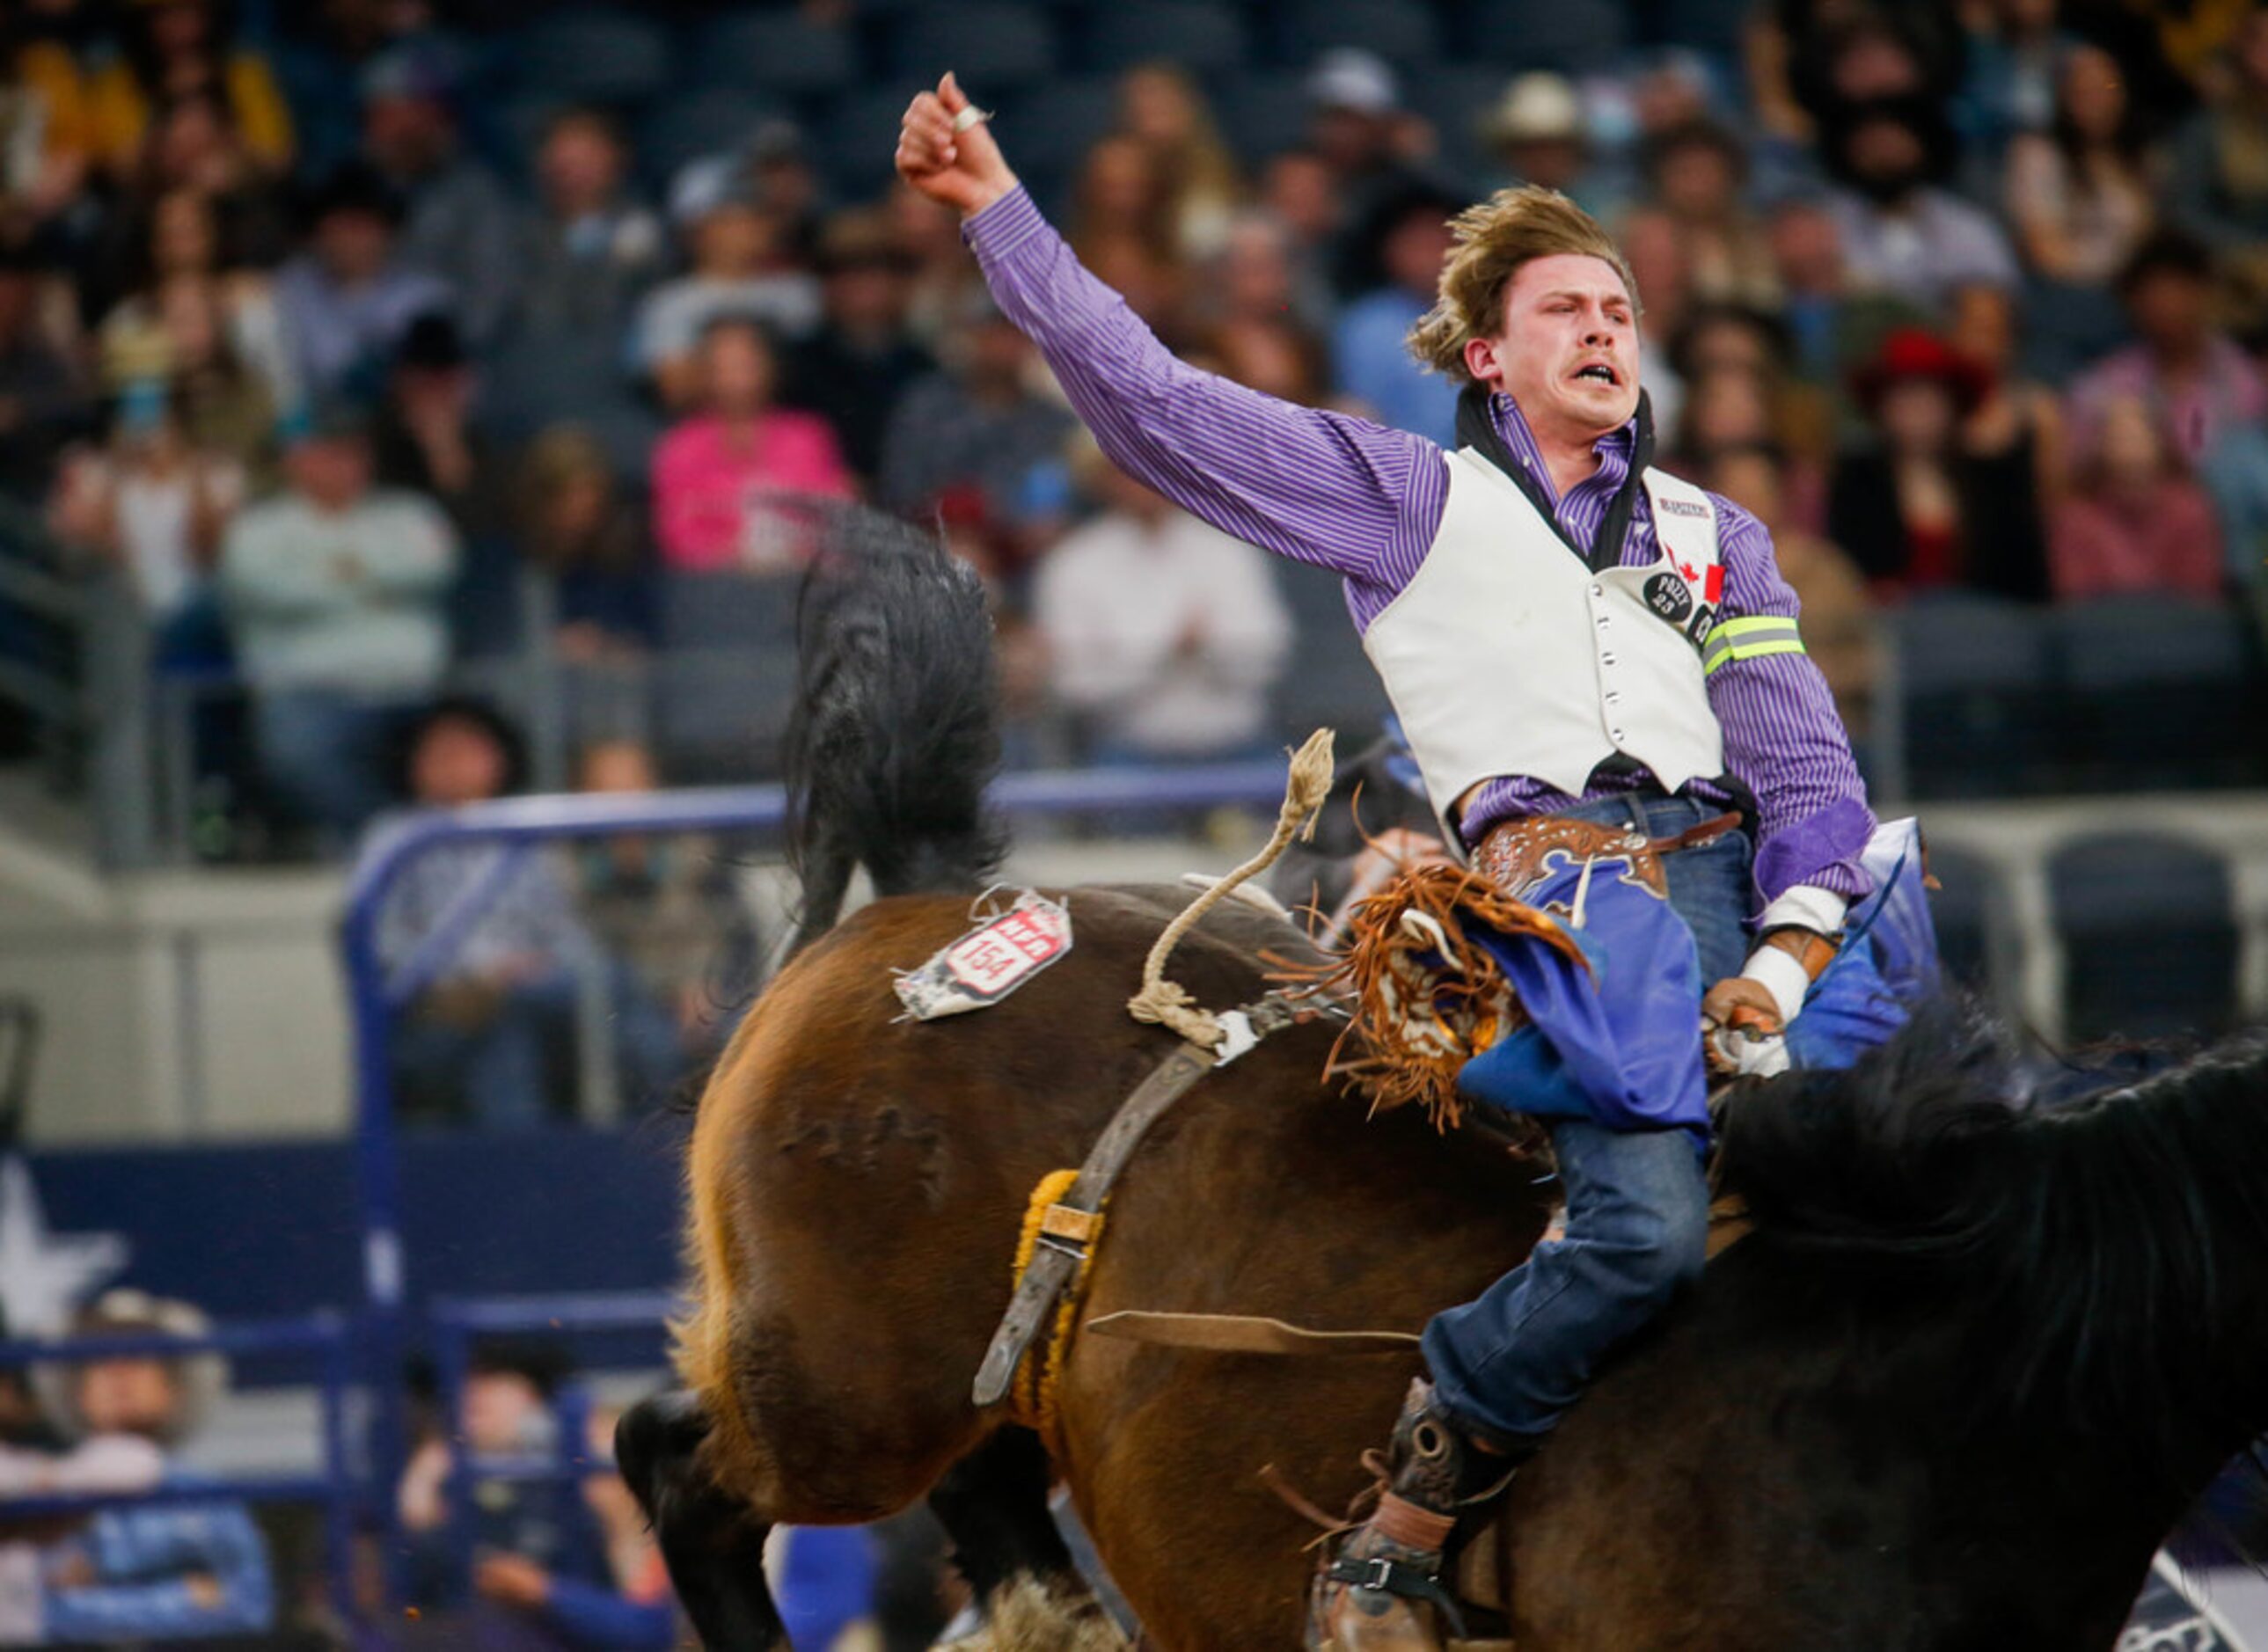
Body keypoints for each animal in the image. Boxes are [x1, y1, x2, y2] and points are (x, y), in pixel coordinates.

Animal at [617, 510, 2268, 1642]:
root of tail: (931, 904)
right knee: (675, 1463)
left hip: (980, 1391)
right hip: (834, 1392)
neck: (1951, 1378)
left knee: (988, 1498)